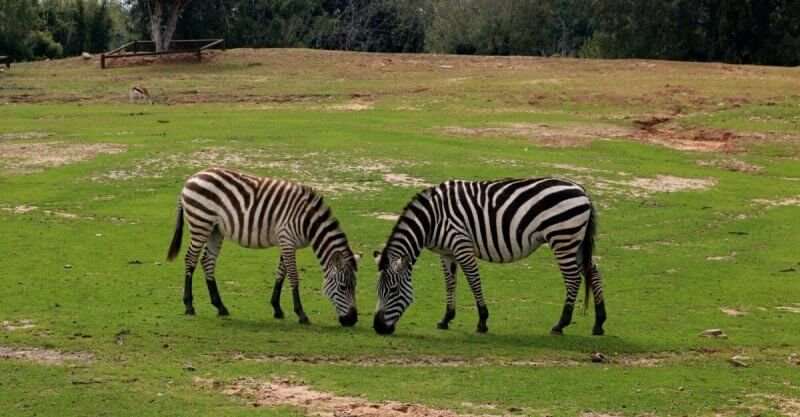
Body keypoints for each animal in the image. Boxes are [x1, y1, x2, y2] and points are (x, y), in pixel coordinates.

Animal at [167, 167, 360, 326]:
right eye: (343, 287)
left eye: (354, 287)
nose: (352, 320)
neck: (307, 222)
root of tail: (192, 178)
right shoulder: (287, 240)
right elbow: (293, 276)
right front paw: (301, 314)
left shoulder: (287, 242)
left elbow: (281, 273)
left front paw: (277, 309)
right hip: (201, 223)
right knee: (191, 259)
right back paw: (189, 305)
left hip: (215, 229)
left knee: (207, 261)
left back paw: (220, 306)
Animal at [374, 178, 608, 334]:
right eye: (377, 290)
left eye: (393, 290)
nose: (378, 327)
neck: (432, 220)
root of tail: (582, 189)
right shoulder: (446, 253)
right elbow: (450, 284)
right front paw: (446, 319)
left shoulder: (461, 245)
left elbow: (473, 281)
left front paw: (482, 321)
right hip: (576, 242)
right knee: (593, 273)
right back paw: (599, 323)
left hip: (563, 239)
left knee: (573, 279)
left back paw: (561, 324)